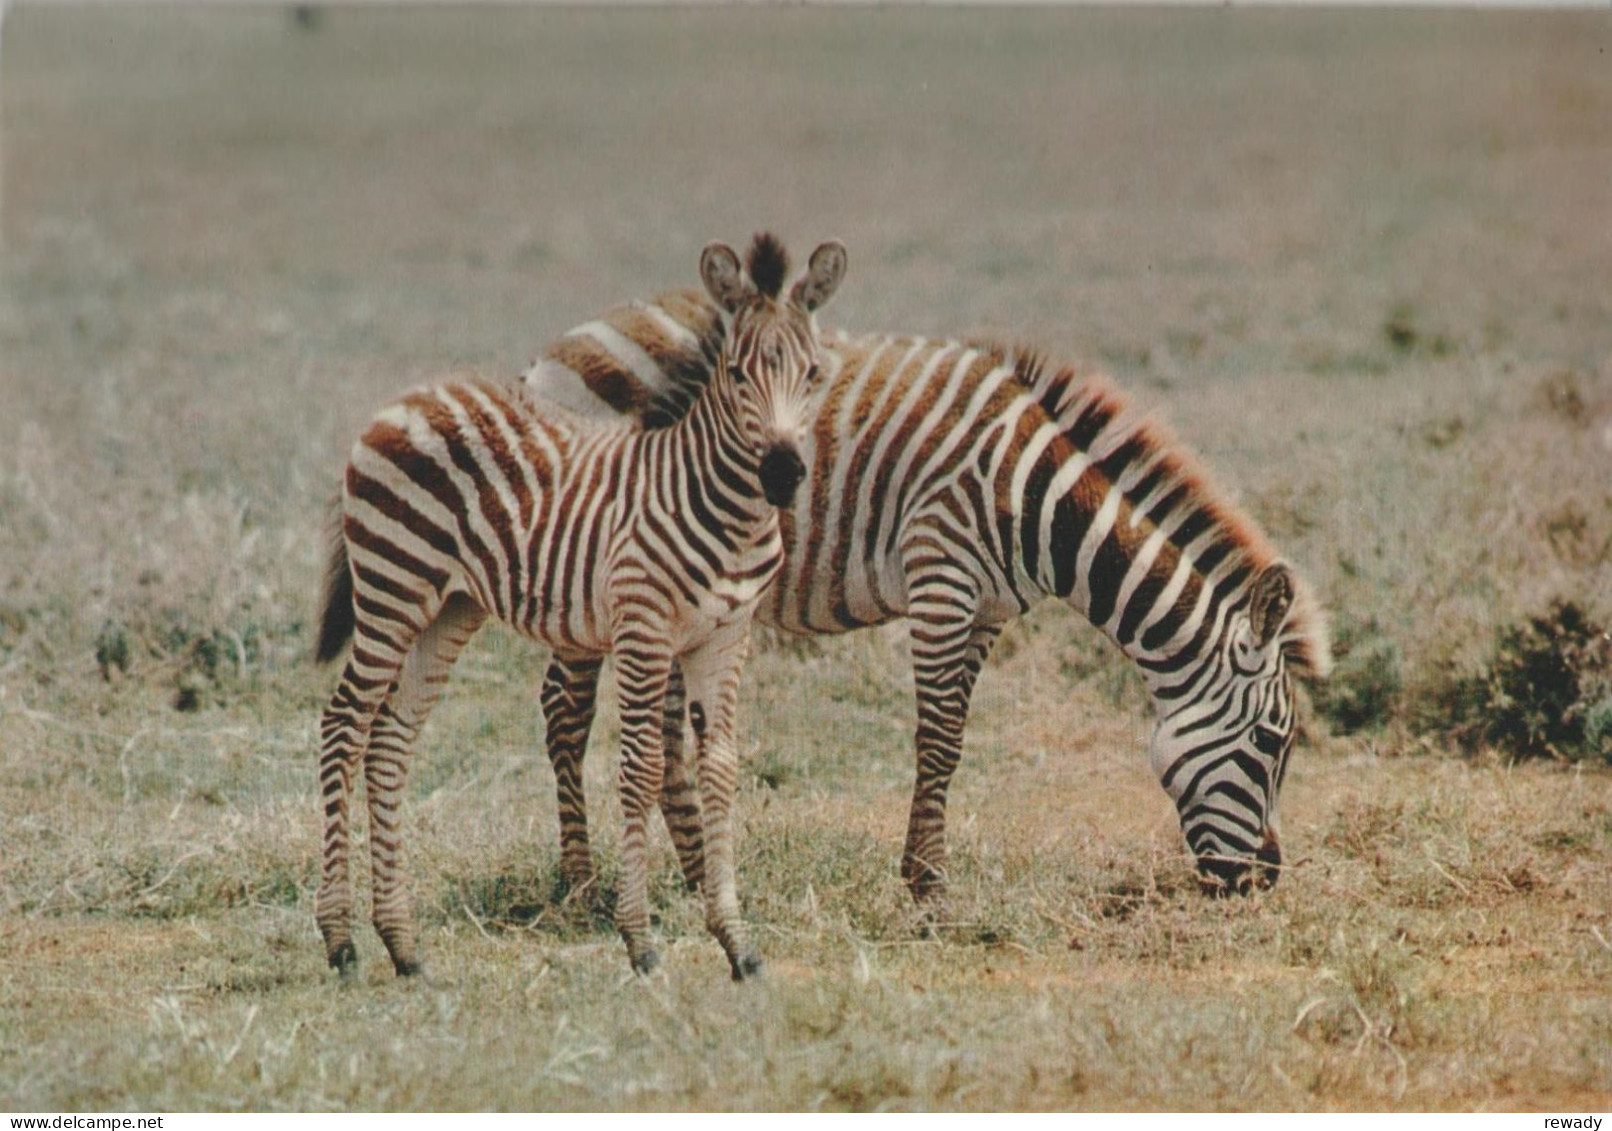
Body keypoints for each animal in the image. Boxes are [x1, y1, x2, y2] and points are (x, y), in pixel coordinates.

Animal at [307, 238, 851, 986]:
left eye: (814, 371)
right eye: (739, 374)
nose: (782, 473)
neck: (721, 507)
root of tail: (400, 401)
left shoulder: (723, 636)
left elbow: (720, 767)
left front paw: (737, 944)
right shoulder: (644, 628)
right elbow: (644, 766)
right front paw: (640, 940)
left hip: (449, 606)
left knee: (390, 738)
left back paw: (404, 945)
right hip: (393, 585)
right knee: (343, 726)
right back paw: (340, 940)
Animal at [528, 290, 1334, 915]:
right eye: (1272, 741)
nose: (1262, 881)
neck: (1037, 500)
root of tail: (562, 344)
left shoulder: (987, 612)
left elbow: (956, 737)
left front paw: (924, 878)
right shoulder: (941, 578)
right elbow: (939, 738)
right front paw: (928, 890)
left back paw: (699, 880)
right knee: (566, 710)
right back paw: (580, 886)